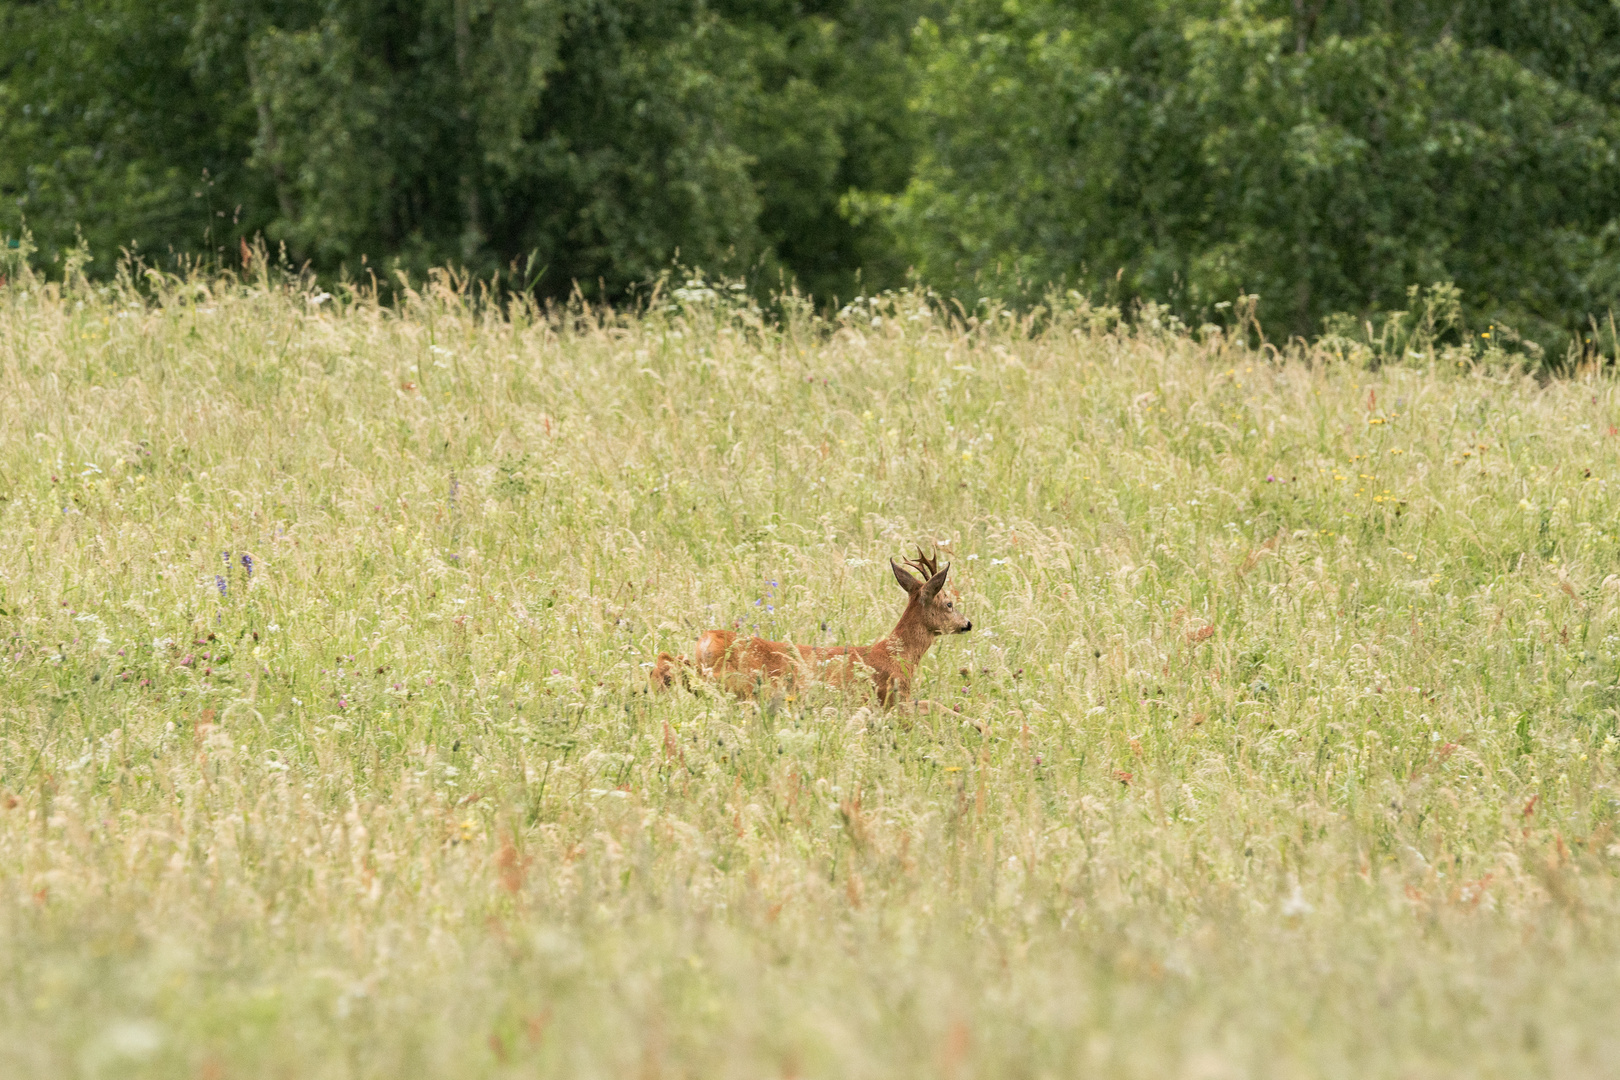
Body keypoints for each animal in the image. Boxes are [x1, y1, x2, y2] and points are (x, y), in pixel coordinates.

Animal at [648, 550, 972, 709]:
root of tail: (708, 638)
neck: (899, 655)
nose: (967, 623)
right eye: (949, 603)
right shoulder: (891, 697)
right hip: (743, 680)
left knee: (668, 658)